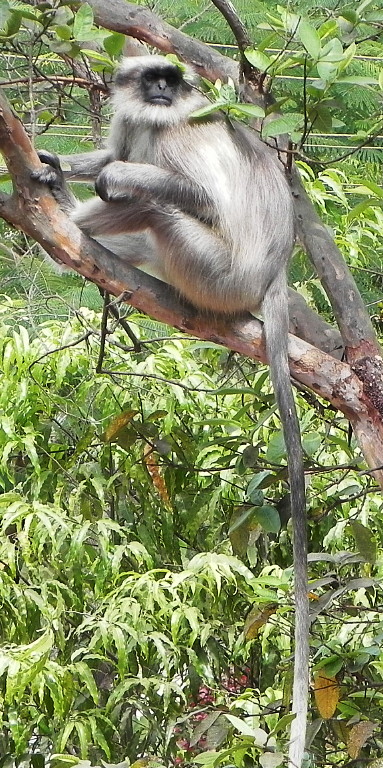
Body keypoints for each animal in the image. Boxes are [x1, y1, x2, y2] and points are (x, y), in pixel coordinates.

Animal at [33, 54, 308, 768]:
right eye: (150, 77)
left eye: (172, 79)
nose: (160, 91)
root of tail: (272, 274)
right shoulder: (135, 116)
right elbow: (111, 148)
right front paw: (51, 164)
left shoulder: (180, 131)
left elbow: (183, 191)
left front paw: (89, 182)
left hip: (216, 273)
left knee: (156, 202)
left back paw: (72, 218)